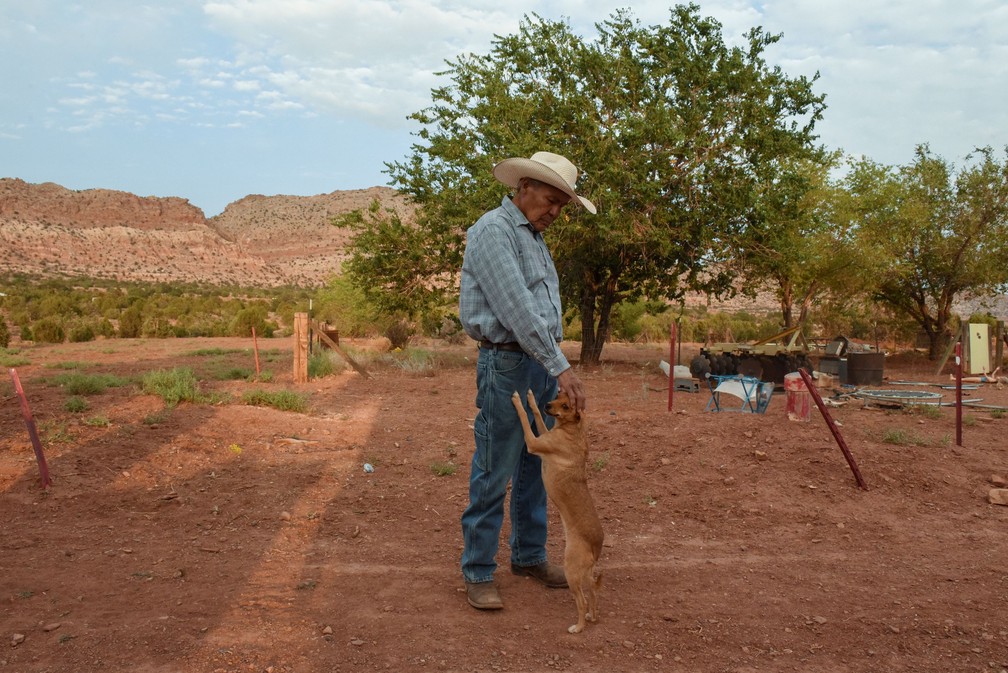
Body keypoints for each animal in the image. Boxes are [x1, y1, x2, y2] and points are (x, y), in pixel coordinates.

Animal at [512, 388, 604, 632]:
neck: (571, 429)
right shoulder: (542, 435)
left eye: (566, 406)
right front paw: (531, 399)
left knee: (582, 601)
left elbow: (523, 417)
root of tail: (596, 549)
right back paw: (592, 617)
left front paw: (517, 401)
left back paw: (579, 627)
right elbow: (535, 414)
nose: (548, 405)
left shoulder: (534, 443)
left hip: (570, 570)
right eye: (559, 394)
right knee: (592, 594)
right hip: (584, 575)